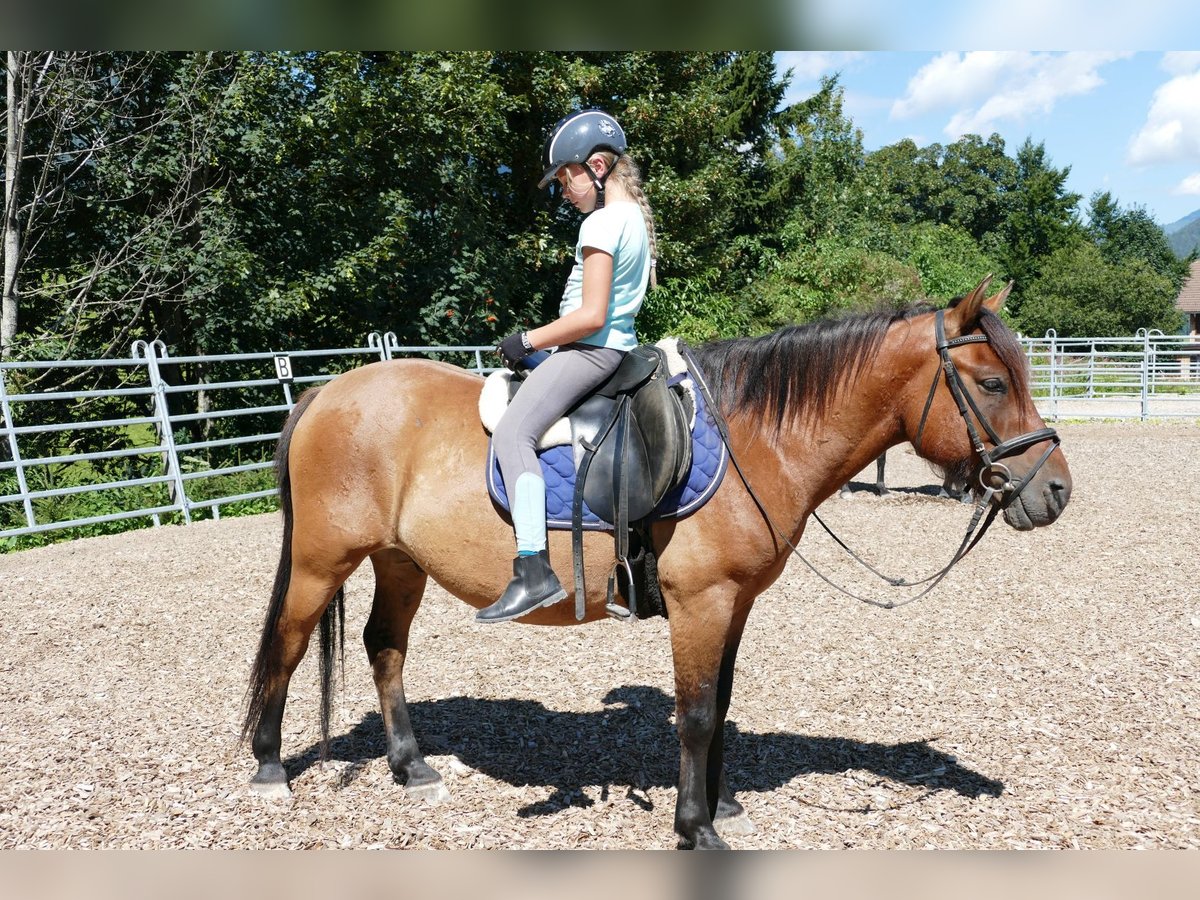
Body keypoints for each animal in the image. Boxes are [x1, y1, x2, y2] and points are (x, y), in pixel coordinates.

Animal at [241, 278, 1070, 849]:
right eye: (993, 383)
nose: (1056, 490)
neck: (754, 437)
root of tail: (324, 392)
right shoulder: (700, 602)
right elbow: (695, 715)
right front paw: (696, 825)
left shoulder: (735, 603)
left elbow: (721, 705)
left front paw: (723, 802)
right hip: (321, 560)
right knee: (286, 647)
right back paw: (271, 769)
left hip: (399, 562)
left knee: (384, 649)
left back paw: (412, 767)